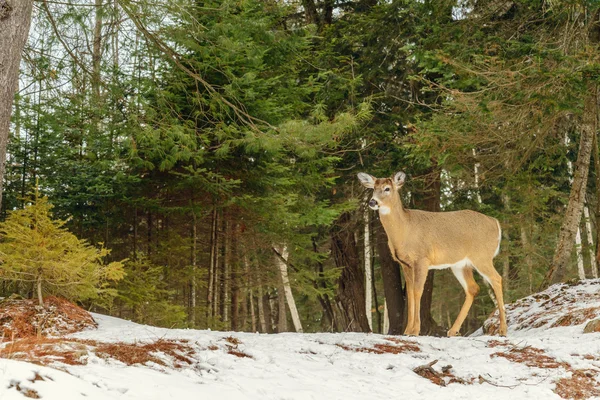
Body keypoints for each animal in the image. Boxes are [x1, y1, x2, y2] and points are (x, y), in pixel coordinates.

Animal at [358, 172, 508, 338]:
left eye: (387, 188)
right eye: (373, 188)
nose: (372, 201)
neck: (404, 231)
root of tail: (495, 223)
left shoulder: (422, 258)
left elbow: (418, 291)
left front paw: (415, 330)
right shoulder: (405, 264)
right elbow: (409, 293)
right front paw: (407, 330)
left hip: (482, 256)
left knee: (497, 279)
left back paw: (503, 330)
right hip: (460, 264)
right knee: (473, 288)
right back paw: (452, 331)